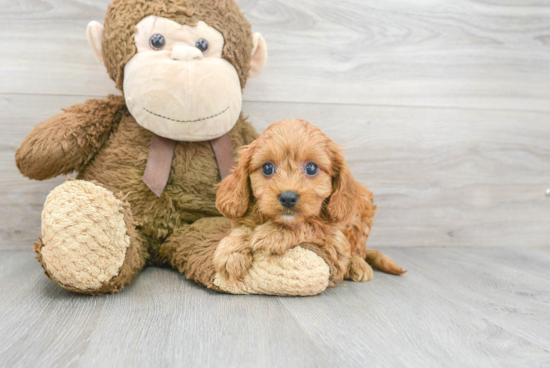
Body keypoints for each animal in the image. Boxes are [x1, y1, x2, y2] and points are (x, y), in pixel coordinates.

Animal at [213, 118, 408, 284]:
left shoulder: (335, 243)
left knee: (358, 249)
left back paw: (358, 264)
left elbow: (311, 225)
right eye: (267, 168)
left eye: (311, 168)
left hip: (363, 212)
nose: (288, 198)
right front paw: (231, 251)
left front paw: (275, 233)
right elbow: (243, 228)